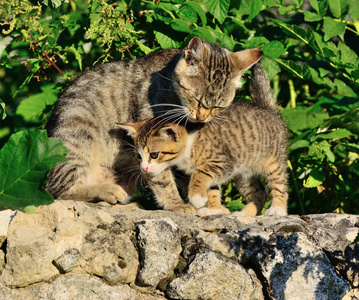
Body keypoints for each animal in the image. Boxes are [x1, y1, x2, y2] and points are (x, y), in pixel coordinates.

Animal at [46, 36, 262, 213]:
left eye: (218, 106)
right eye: (196, 99)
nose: (202, 117)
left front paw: (210, 205)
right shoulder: (152, 139)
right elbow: (163, 180)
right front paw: (177, 204)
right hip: (78, 130)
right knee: (59, 193)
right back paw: (107, 191)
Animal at [120, 64, 290, 217]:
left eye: (154, 155)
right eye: (138, 156)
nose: (144, 168)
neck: (190, 144)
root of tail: (266, 108)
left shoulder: (222, 162)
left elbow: (200, 173)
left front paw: (196, 197)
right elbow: (212, 188)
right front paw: (212, 208)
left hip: (273, 161)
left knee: (279, 184)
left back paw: (278, 209)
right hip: (244, 173)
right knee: (260, 193)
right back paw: (245, 214)